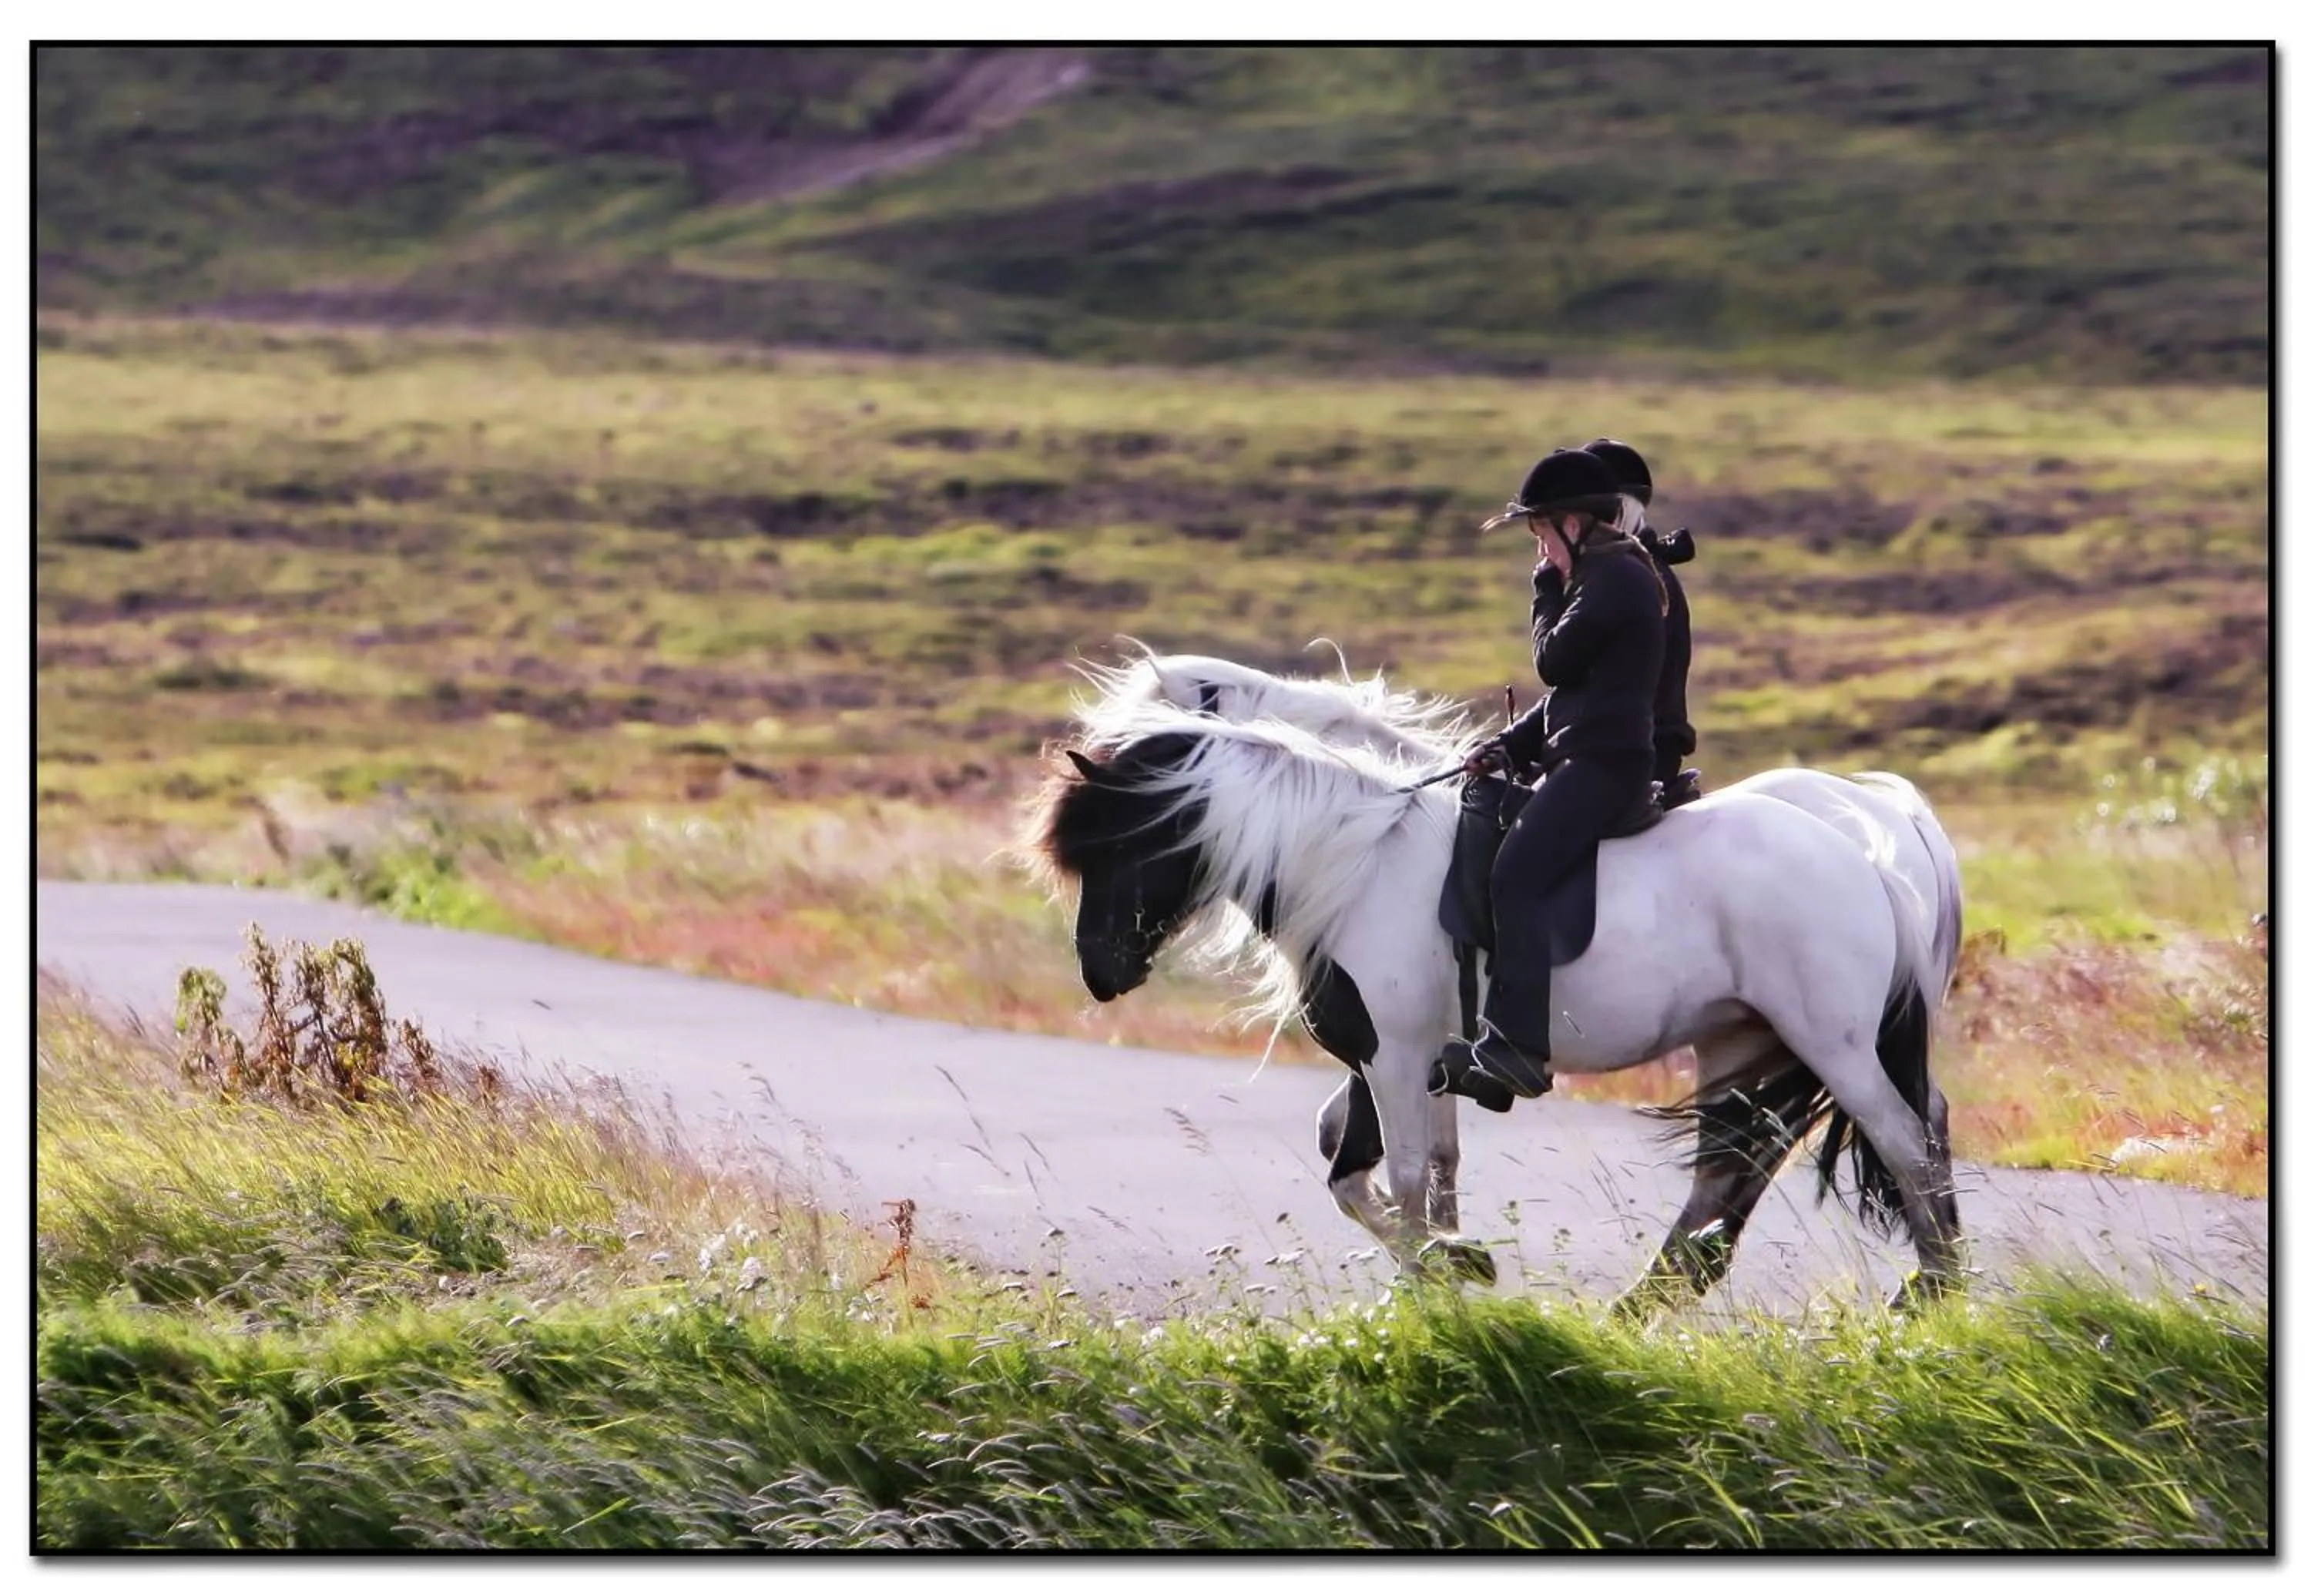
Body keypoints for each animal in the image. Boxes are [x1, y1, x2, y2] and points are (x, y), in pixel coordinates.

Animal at [1025, 705, 1964, 1315]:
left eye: (1126, 843)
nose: (1098, 972)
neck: (1356, 866)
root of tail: (1867, 856)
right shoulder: (1399, 1059)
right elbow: (1384, 1172)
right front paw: (1454, 1268)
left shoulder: (1395, 1055)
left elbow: (1400, 1178)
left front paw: (1430, 1287)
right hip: (1740, 1042)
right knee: (1732, 1170)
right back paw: (1645, 1301)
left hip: (1829, 1041)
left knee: (1904, 1140)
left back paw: (1934, 1288)